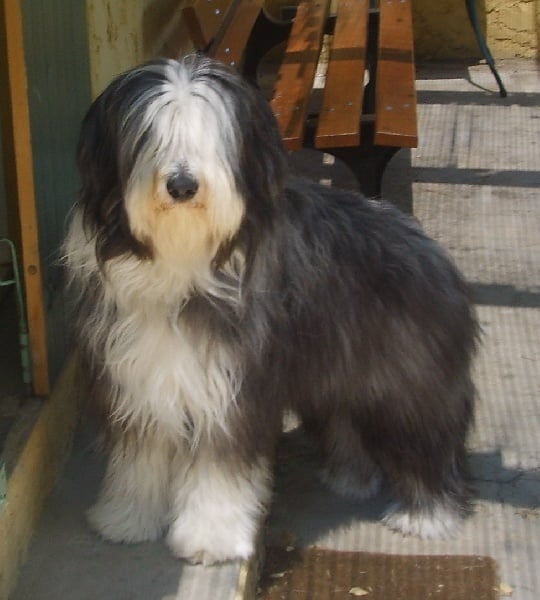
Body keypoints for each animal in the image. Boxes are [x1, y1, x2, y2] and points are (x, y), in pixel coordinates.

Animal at [63, 54, 476, 564]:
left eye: (210, 138)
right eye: (150, 136)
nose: (182, 184)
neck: (182, 255)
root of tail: (430, 248)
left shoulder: (232, 389)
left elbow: (219, 469)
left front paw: (211, 538)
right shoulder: (140, 380)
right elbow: (140, 457)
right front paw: (128, 519)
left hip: (407, 382)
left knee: (427, 440)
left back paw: (427, 514)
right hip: (337, 371)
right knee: (346, 418)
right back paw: (351, 477)